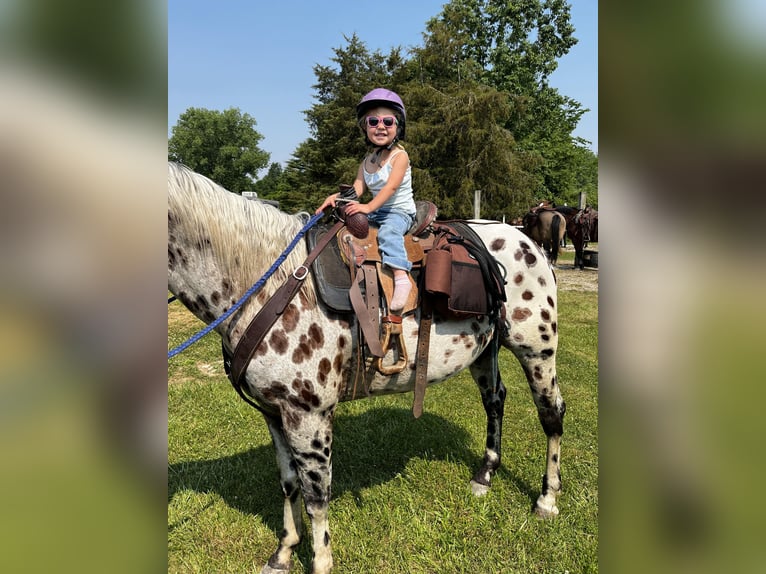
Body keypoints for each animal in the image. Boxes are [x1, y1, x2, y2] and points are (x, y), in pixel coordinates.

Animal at [166, 163, 564, 574]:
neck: (269, 286)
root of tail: (525, 239)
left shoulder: (309, 416)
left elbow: (316, 496)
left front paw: (320, 562)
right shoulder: (274, 413)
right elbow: (289, 483)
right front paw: (284, 551)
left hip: (536, 349)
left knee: (551, 414)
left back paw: (547, 499)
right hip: (485, 350)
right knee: (495, 400)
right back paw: (485, 475)